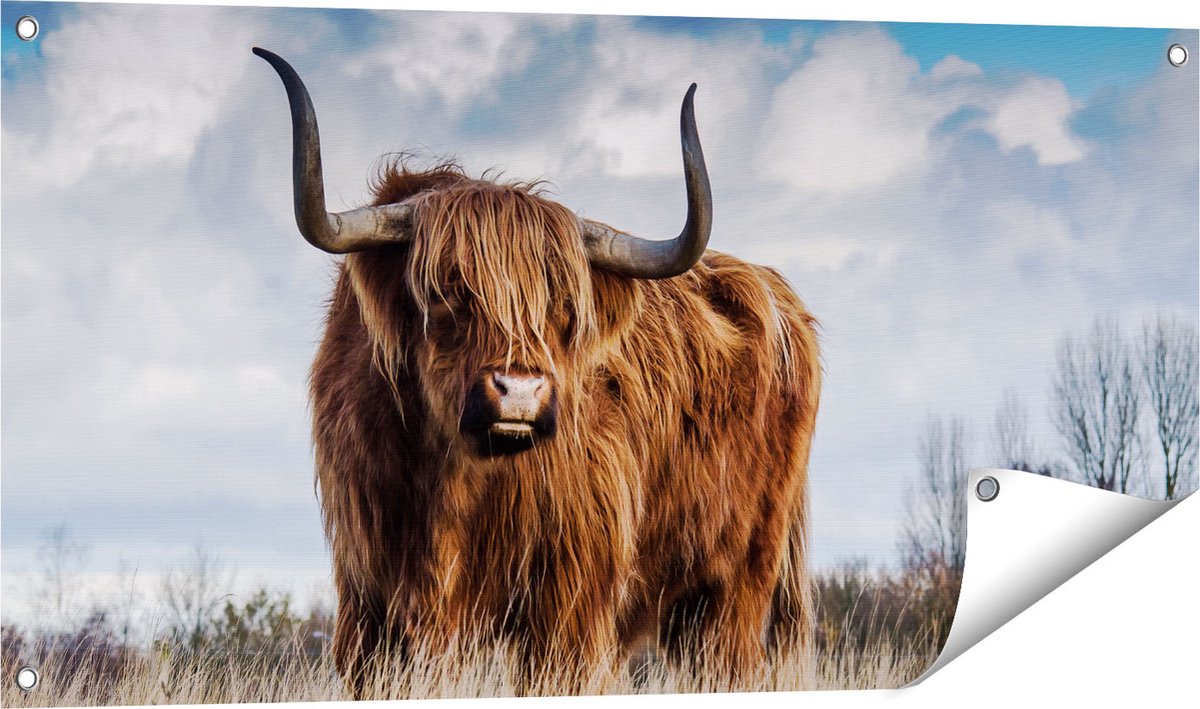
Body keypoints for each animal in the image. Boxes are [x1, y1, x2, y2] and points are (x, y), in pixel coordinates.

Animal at [254, 47, 821, 693]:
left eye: (564, 306)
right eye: (449, 291)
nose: (519, 392)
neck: (451, 484)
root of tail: (778, 295)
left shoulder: (567, 599)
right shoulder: (369, 592)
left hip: (739, 581)